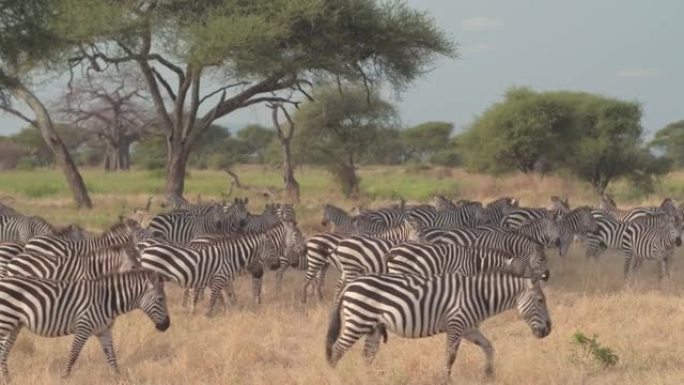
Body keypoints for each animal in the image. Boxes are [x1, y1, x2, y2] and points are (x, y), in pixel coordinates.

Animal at [0, 268, 170, 376]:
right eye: (161, 299)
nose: (167, 325)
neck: (106, 300)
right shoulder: (83, 327)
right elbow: (73, 355)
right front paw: (64, 378)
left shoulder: (104, 331)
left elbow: (112, 357)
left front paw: (118, 378)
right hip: (5, 320)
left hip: (15, 324)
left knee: (4, 350)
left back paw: (8, 379)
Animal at [139, 236, 278, 314]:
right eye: (272, 247)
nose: (277, 266)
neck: (230, 258)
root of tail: (145, 250)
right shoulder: (219, 279)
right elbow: (213, 298)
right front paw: (208, 315)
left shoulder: (214, 281)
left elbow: (221, 297)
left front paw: (226, 312)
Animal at [324, 272, 552, 378]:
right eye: (541, 300)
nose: (549, 330)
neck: (480, 295)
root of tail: (349, 285)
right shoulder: (456, 325)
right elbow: (450, 356)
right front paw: (446, 379)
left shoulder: (469, 328)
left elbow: (489, 347)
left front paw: (489, 374)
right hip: (358, 321)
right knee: (337, 350)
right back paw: (334, 376)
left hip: (372, 327)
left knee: (367, 356)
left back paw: (369, 379)